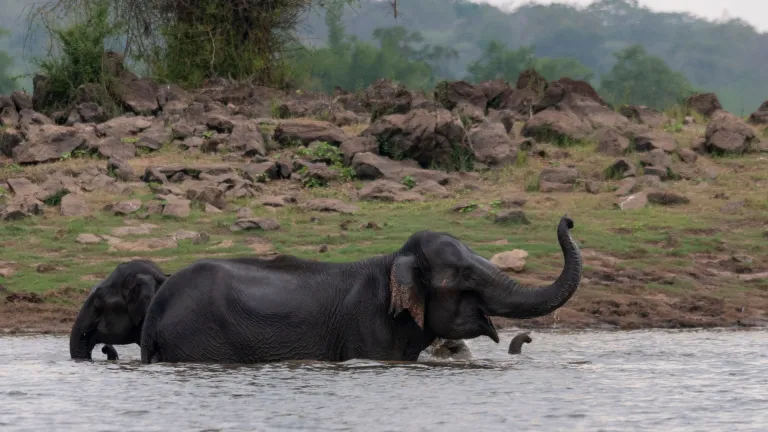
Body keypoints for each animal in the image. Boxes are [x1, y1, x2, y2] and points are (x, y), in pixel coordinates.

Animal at [140, 216, 584, 364]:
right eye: (465, 278)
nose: (569, 220)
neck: (393, 262)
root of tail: (157, 309)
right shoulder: (367, 326)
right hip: (200, 339)